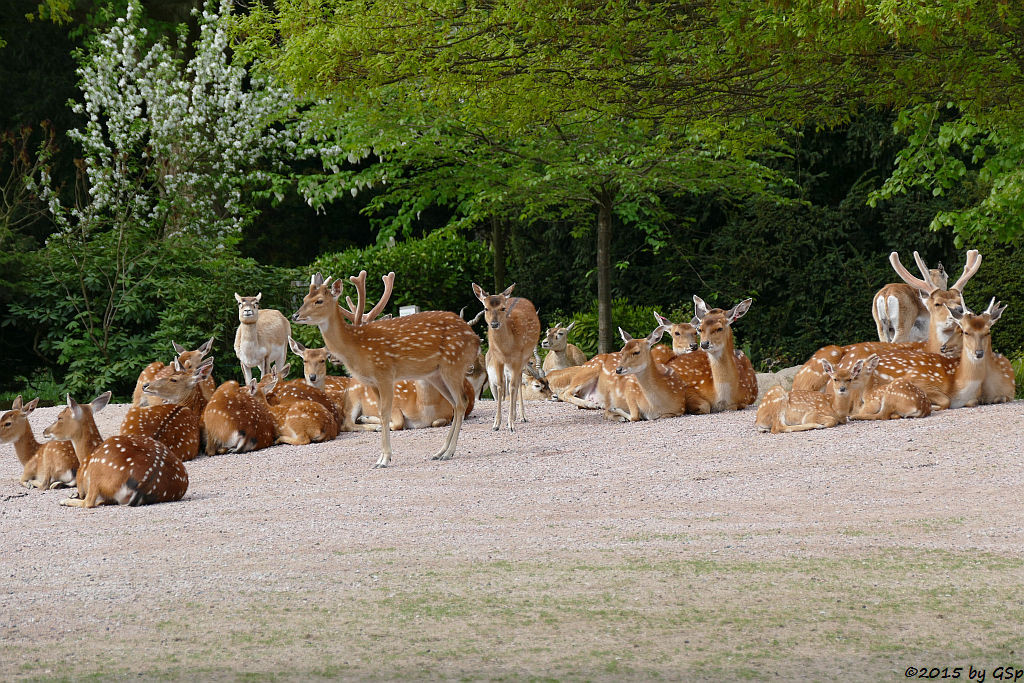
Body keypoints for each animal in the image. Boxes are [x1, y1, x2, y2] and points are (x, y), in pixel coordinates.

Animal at [41, 393, 190, 509]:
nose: (45, 431)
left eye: (59, 417)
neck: (86, 456)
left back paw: (65, 500)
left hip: (97, 473)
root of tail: (146, 485)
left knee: (89, 502)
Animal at [290, 270, 477, 466]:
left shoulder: (385, 373)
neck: (357, 346)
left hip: (453, 364)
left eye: (319, 300)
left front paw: (384, 459)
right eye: (304, 298)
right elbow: (381, 413)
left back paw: (448, 452)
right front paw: (382, 456)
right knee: (455, 403)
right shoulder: (372, 382)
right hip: (436, 374)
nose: (295, 316)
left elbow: (385, 413)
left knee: (461, 402)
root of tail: (475, 338)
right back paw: (440, 452)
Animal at [473, 282, 544, 432]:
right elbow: (501, 386)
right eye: (485, 308)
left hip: (525, 357)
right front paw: (496, 424)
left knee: (517, 383)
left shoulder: (518, 359)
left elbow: (512, 387)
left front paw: (511, 424)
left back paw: (522, 416)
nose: (494, 324)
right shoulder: (497, 360)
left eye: (503, 308)